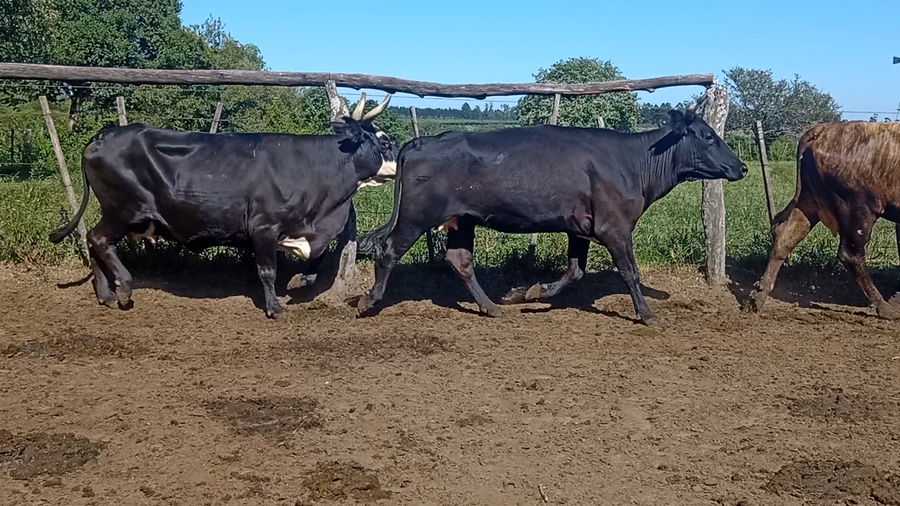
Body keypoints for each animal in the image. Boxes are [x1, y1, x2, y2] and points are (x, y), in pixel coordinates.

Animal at [49, 94, 398, 318]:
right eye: (383, 141)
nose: (400, 161)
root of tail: (102, 135)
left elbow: (316, 264)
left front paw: (298, 282)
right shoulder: (264, 227)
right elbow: (267, 271)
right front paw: (274, 308)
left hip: (119, 212)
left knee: (93, 240)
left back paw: (106, 295)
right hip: (123, 209)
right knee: (98, 240)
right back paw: (122, 288)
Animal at [355, 99, 747, 325]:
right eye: (708, 136)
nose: (741, 167)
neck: (633, 163)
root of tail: (421, 141)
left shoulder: (580, 227)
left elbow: (575, 271)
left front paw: (529, 293)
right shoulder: (615, 227)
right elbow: (630, 272)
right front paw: (648, 315)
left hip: (462, 219)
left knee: (459, 260)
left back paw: (492, 307)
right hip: (416, 214)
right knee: (389, 251)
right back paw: (368, 301)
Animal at [745, 121, 900, 319]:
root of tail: (826, 129)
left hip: (807, 204)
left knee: (785, 238)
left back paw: (757, 297)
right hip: (858, 210)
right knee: (851, 254)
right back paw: (884, 308)